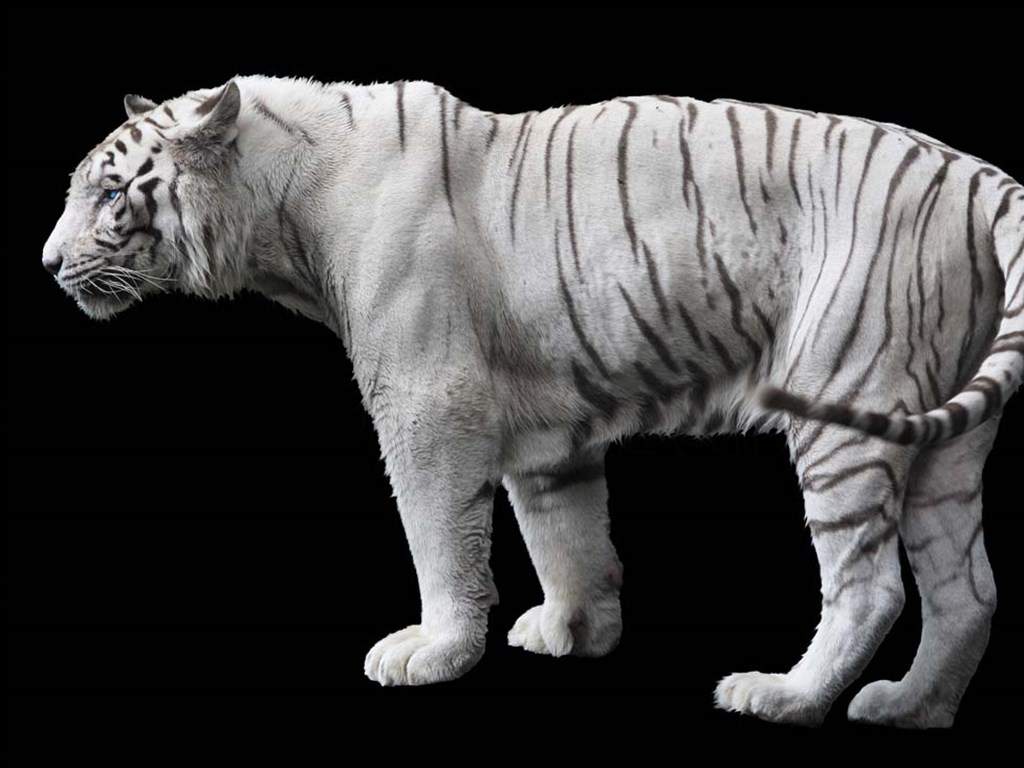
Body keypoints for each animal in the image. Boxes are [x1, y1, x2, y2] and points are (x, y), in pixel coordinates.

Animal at [42, 75, 1023, 728]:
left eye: (110, 190)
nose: (48, 264)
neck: (281, 218)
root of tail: (977, 174)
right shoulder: (553, 430)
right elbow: (566, 536)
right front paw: (574, 631)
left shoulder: (426, 402)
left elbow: (440, 538)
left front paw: (433, 651)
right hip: (947, 440)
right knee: (968, 586)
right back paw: (911, 706)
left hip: (842, 398)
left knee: (870, 584)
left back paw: (783, 696)